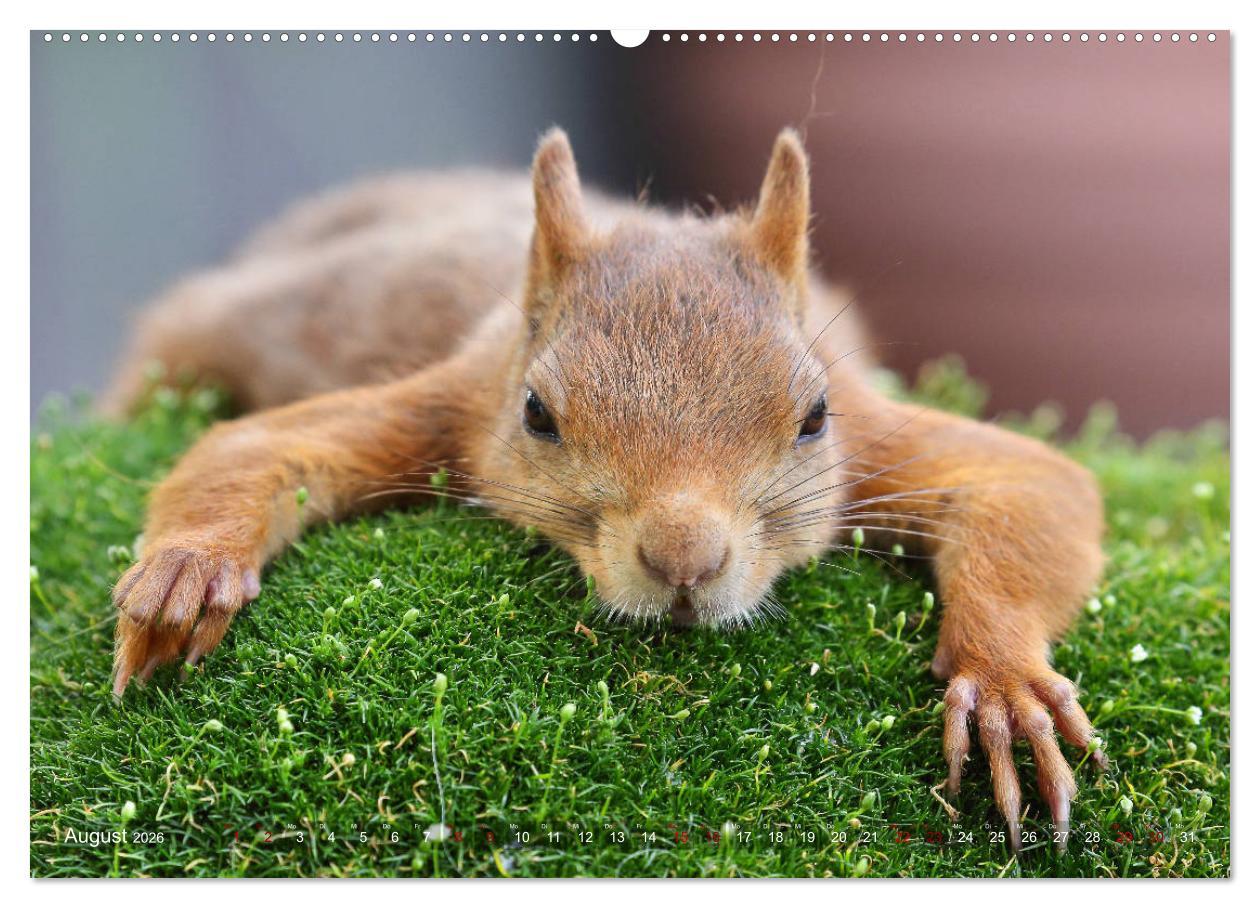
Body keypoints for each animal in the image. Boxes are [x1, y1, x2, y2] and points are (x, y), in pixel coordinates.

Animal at [105, 127, 1105, 850]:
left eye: (815, 416)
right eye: (537, 413)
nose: (684, 562)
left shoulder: (875, 432)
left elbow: (1033, 484)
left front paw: (1003, 684)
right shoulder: (457, 402)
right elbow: (258, 448)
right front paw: (191, 569)